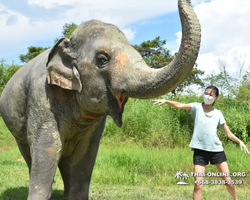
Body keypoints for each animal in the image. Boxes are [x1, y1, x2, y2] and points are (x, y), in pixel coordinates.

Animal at [0, 0, 200, 199]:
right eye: (102, 59)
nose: (186, 1)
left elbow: (85, 152)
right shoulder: (41, 96)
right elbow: (49, 147)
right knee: (30, 154)